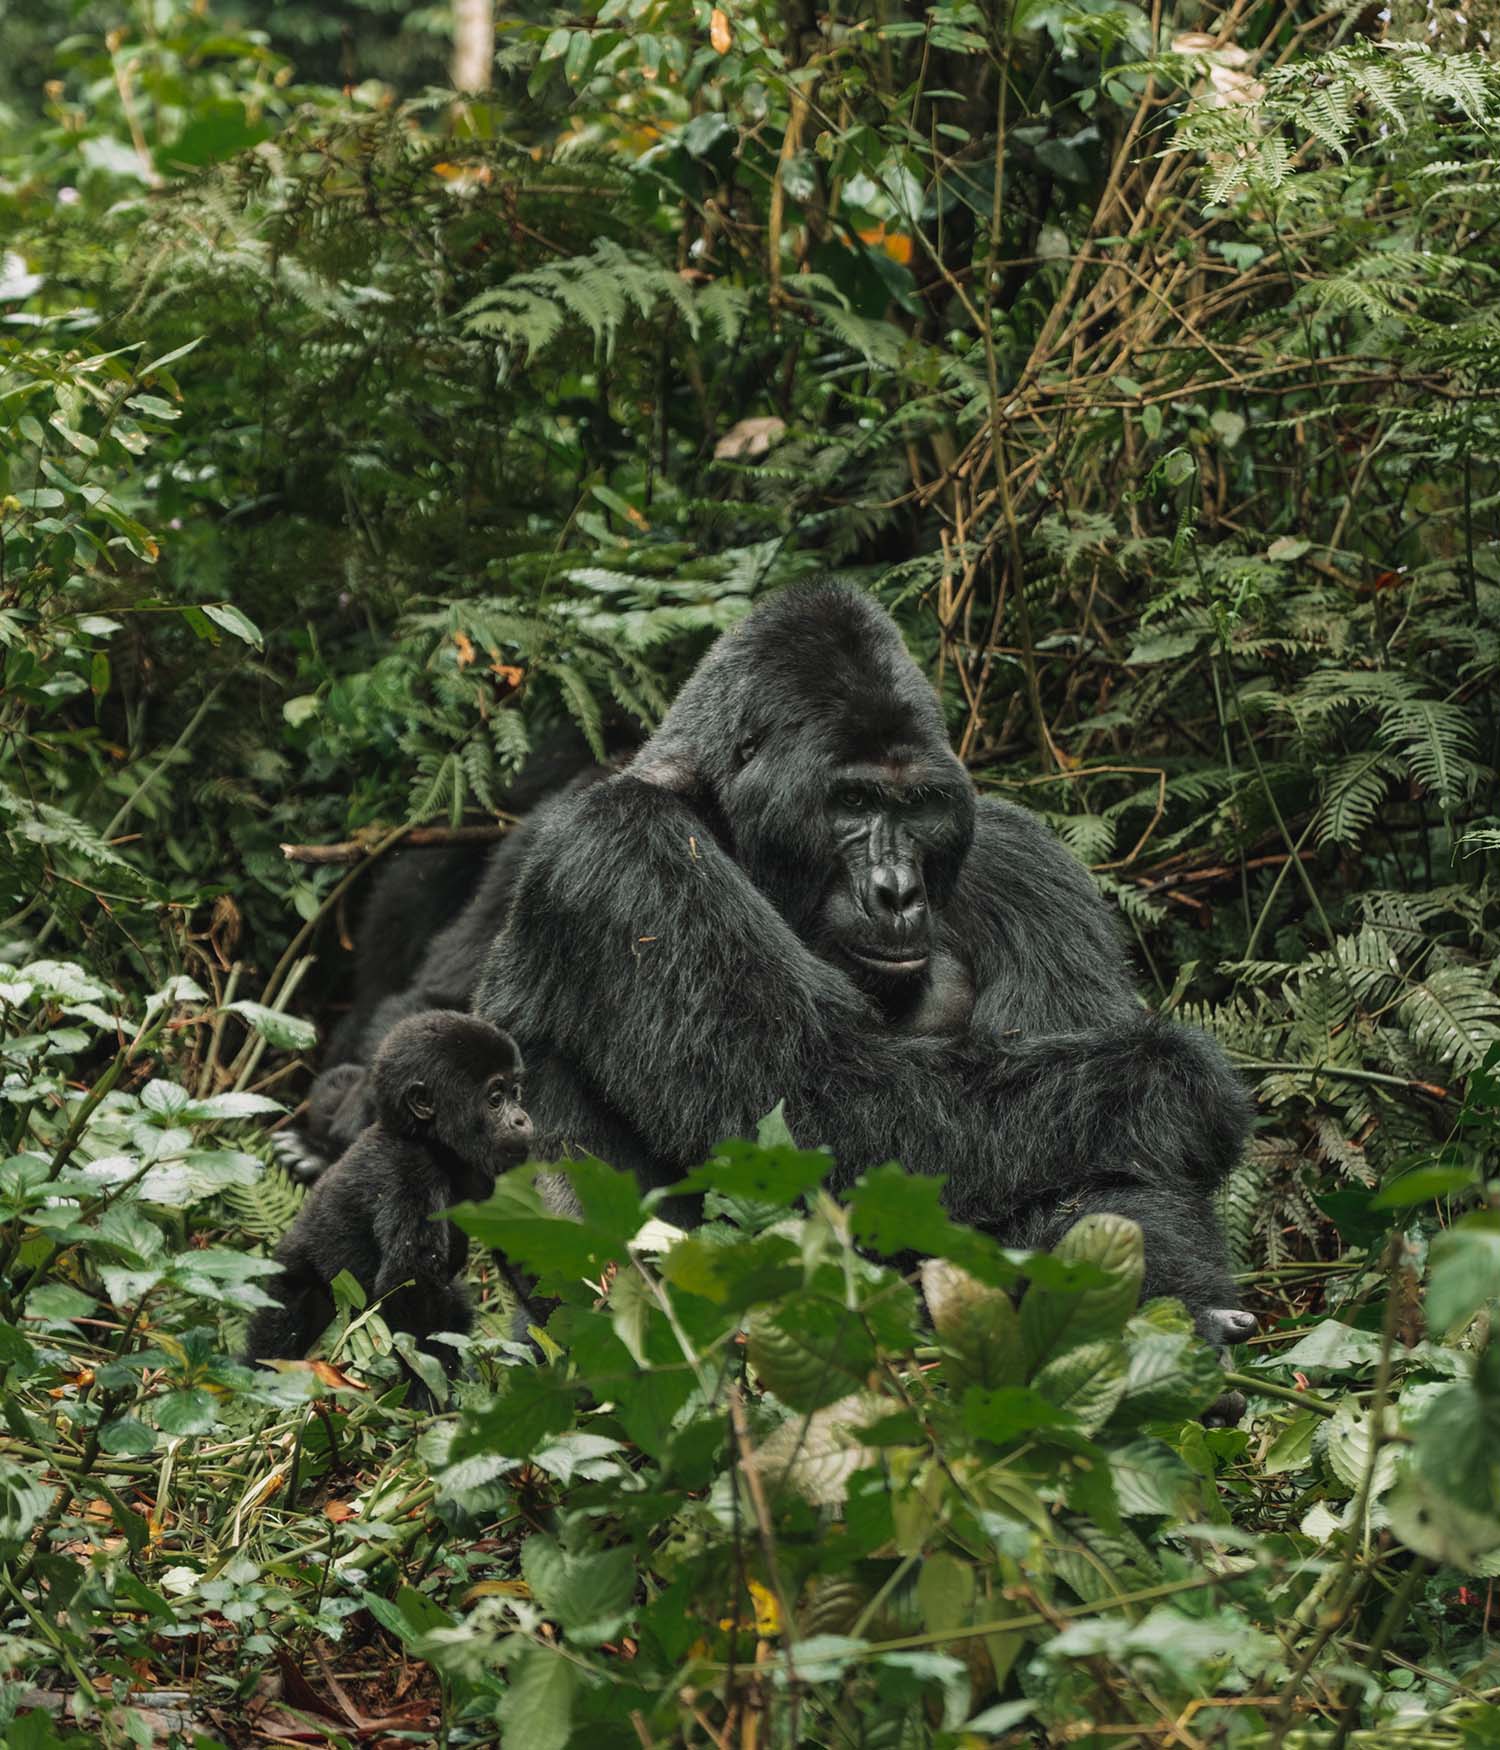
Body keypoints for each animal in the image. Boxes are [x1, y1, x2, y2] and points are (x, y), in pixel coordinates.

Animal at [241, 1015, 532, 1393]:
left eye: (516, 1092)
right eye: (495, 1098)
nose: (522, 1119)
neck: (428, 1142)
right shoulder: (409, 1173)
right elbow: (408, 1290)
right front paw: (430, 1397)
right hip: (293, 1278)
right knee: (277, 1334)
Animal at [472, 581, 1260, 1344]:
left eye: (919, 806)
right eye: (850, 799)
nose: (897, 891)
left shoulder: (1023, 860)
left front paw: (1165, 1307)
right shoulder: (623, 849)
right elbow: (808, 1113)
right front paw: (1173, 1085)